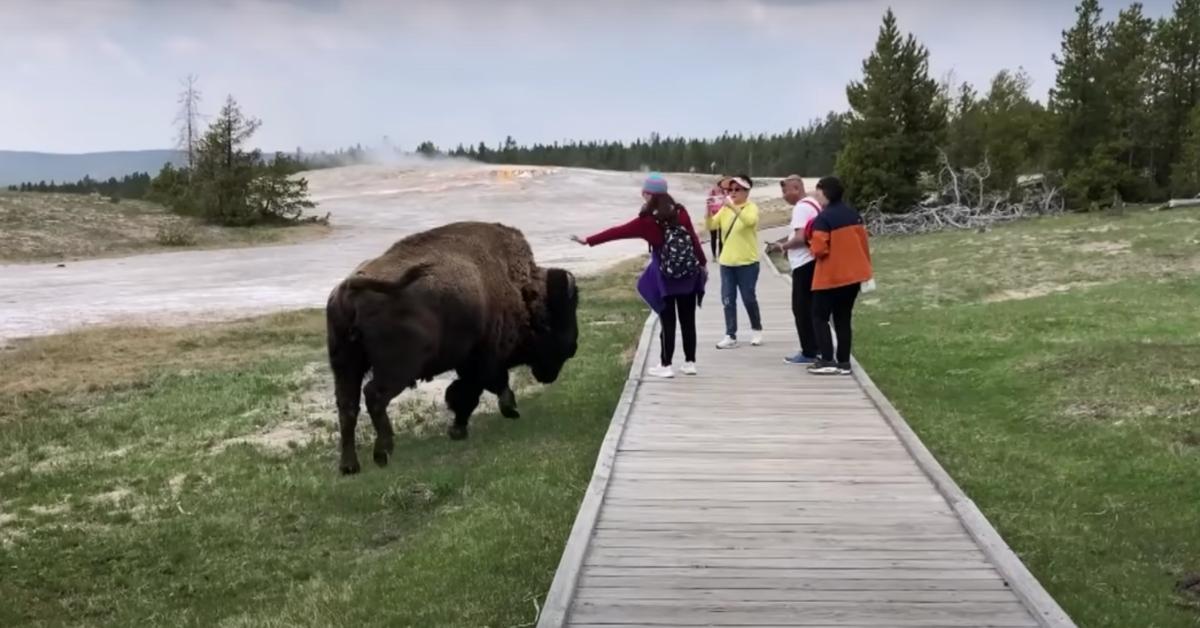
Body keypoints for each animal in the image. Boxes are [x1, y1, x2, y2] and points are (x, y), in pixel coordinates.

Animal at [324, 220, 576, 470]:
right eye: (553, 321)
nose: (572, 347)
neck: (516, 287)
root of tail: (350, 287)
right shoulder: (484, 359)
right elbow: (478, 389)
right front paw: (504, 412)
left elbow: (465, 392)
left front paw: (461, 429)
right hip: (397, 369)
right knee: (374, 396)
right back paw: (383, 453)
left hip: (346, 365)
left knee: (348, 406)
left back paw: (349, 467)